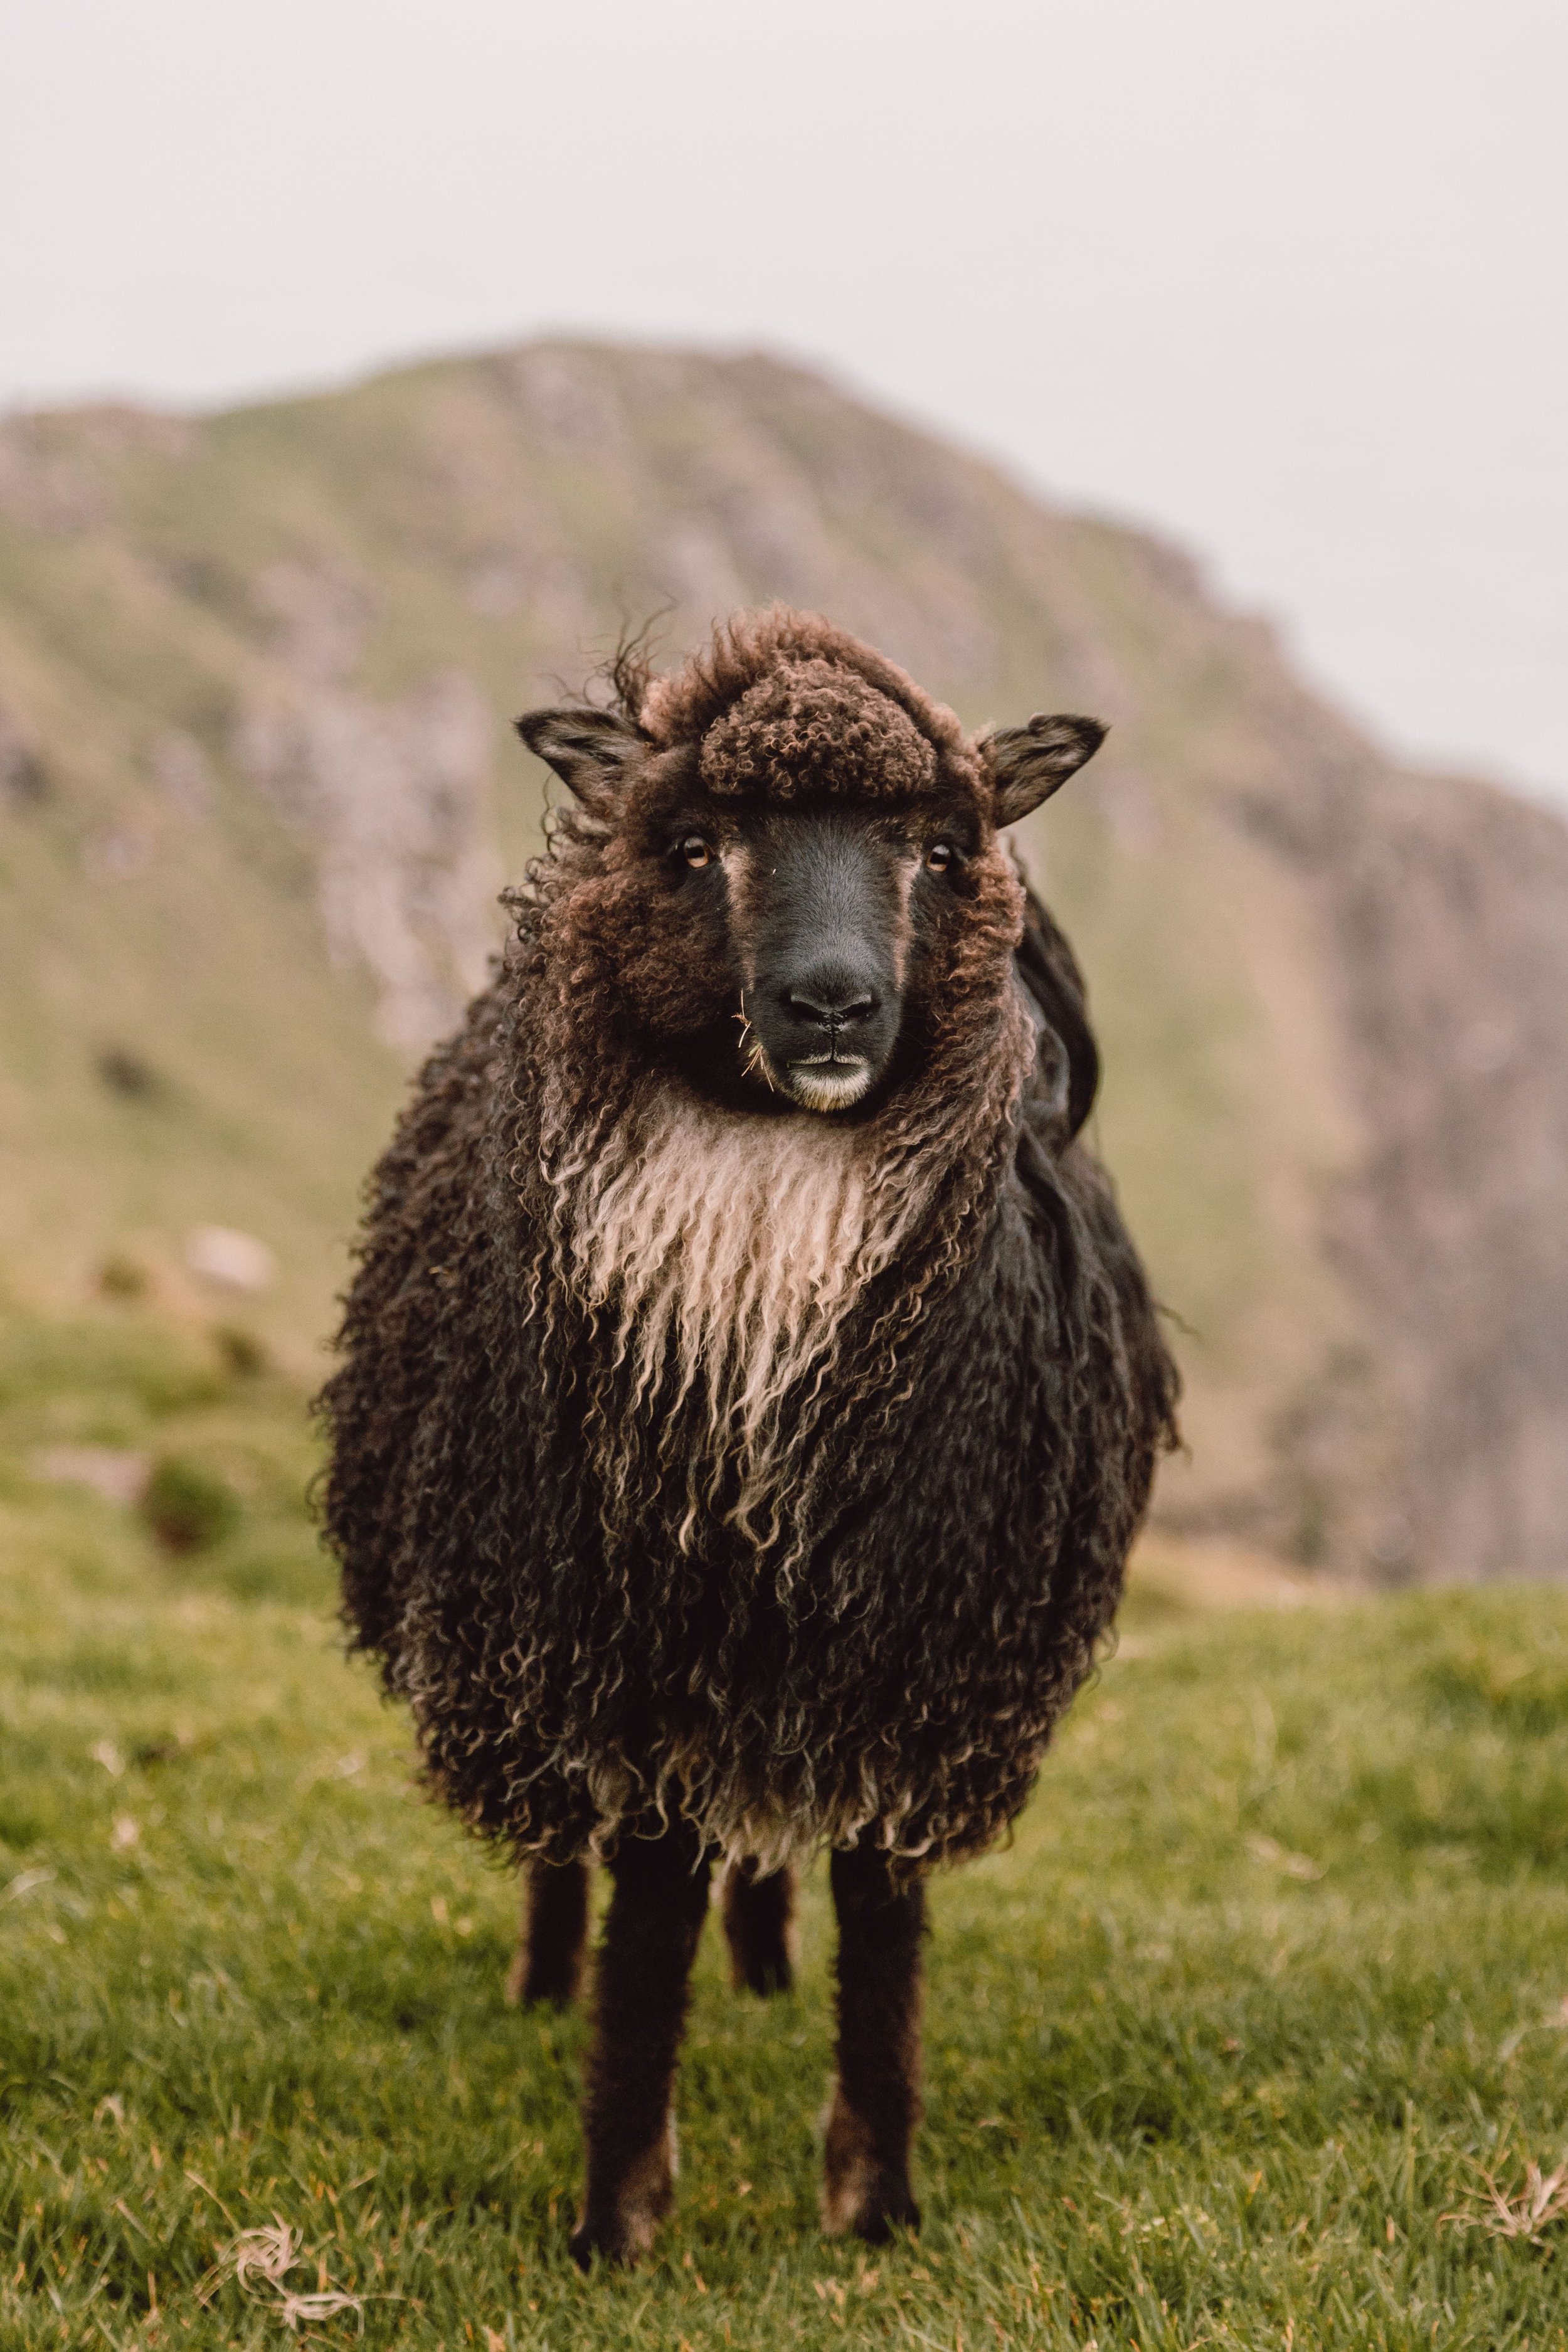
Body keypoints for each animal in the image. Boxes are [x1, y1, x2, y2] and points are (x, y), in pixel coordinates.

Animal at [320, 606, 1179, 2267]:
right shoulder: (627, 1635)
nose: (832, 1007)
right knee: (568, 1844)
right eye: (697, 842)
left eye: (932, 844)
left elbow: (886, 1916)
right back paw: (546, 1978)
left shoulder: (913, 1644)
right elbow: (649, 1913)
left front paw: (877, 2196)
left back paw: (773, 1963)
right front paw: (615, 2212)